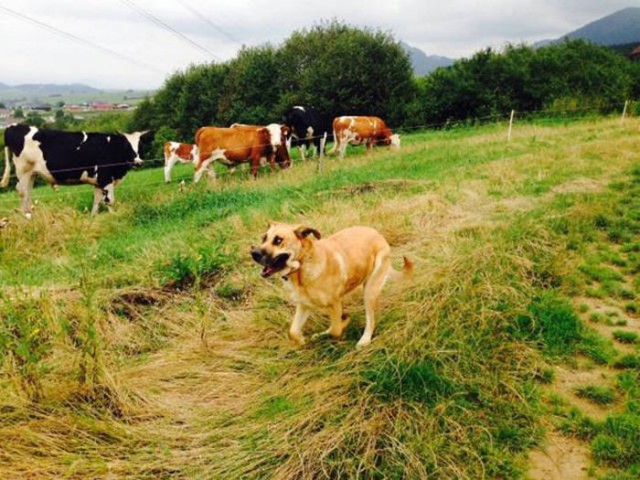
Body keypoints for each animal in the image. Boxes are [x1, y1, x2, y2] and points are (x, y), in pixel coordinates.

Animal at [1, 124, 146, 218]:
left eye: (140, 145)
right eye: (127, 146)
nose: (138, 162)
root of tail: (13, 126)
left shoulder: (98, 181)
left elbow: (97, 200)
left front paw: (93, 217)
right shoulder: (106, 178)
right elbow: (109, 200)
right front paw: (114, 216)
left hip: (32, 174)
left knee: (28, 193)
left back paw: (30, 215)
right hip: (23, 171)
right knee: (23, 192)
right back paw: (26, 217)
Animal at [250, 223, 416, 346]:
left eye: (278, 240)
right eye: (264, 238)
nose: (254, 253)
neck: (302, 267)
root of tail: (378, 234)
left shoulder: (335, 304)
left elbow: (336, 330)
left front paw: (342, 325)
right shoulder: (304, 305)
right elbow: (294, 331)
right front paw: (302, 341)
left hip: (369, 291)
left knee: (370, 320)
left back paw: (364, 339)